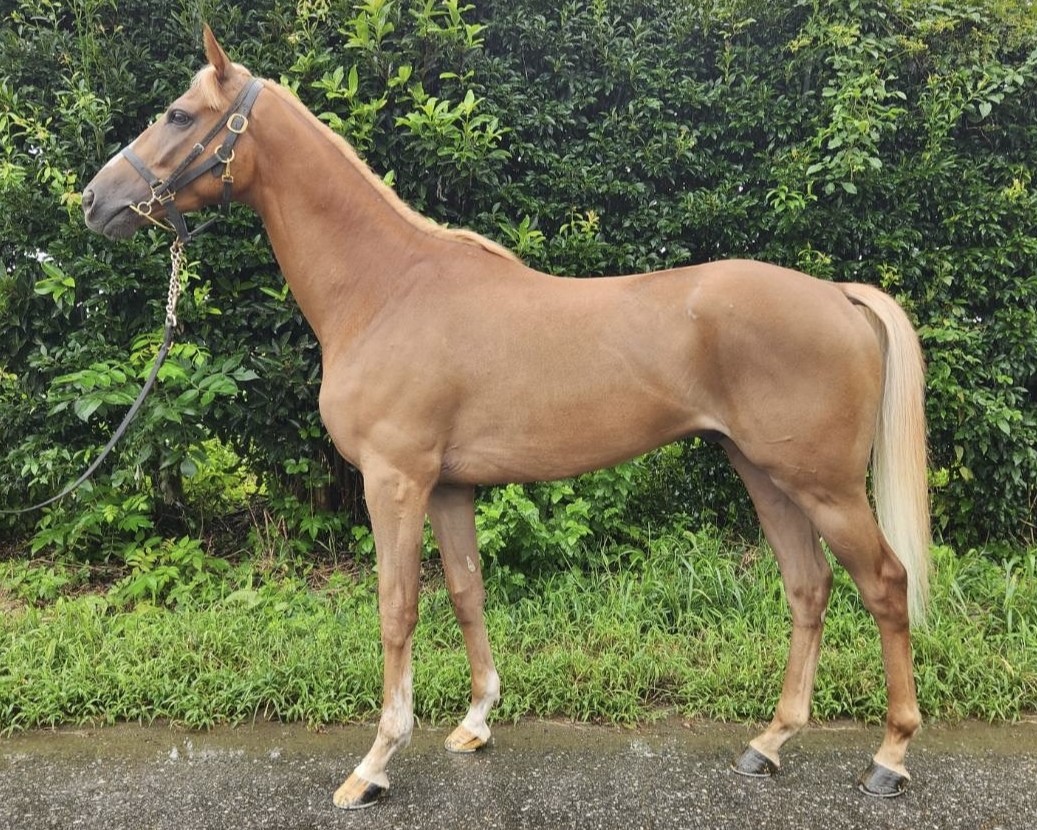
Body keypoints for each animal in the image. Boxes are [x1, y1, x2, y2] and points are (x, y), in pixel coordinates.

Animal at [82, 27, 931, 809]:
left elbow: (396, 609)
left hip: (822, 485)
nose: (94, 200)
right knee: (807, 587)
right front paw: (475, 723)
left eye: (177, 113)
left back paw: (889, 758)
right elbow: (466, 591)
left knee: (885, 583)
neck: (385, 290)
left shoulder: (394, 482)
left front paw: (374, 765)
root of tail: (836, 294)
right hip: (763, 473)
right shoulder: (450, 488)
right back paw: (770, 742)